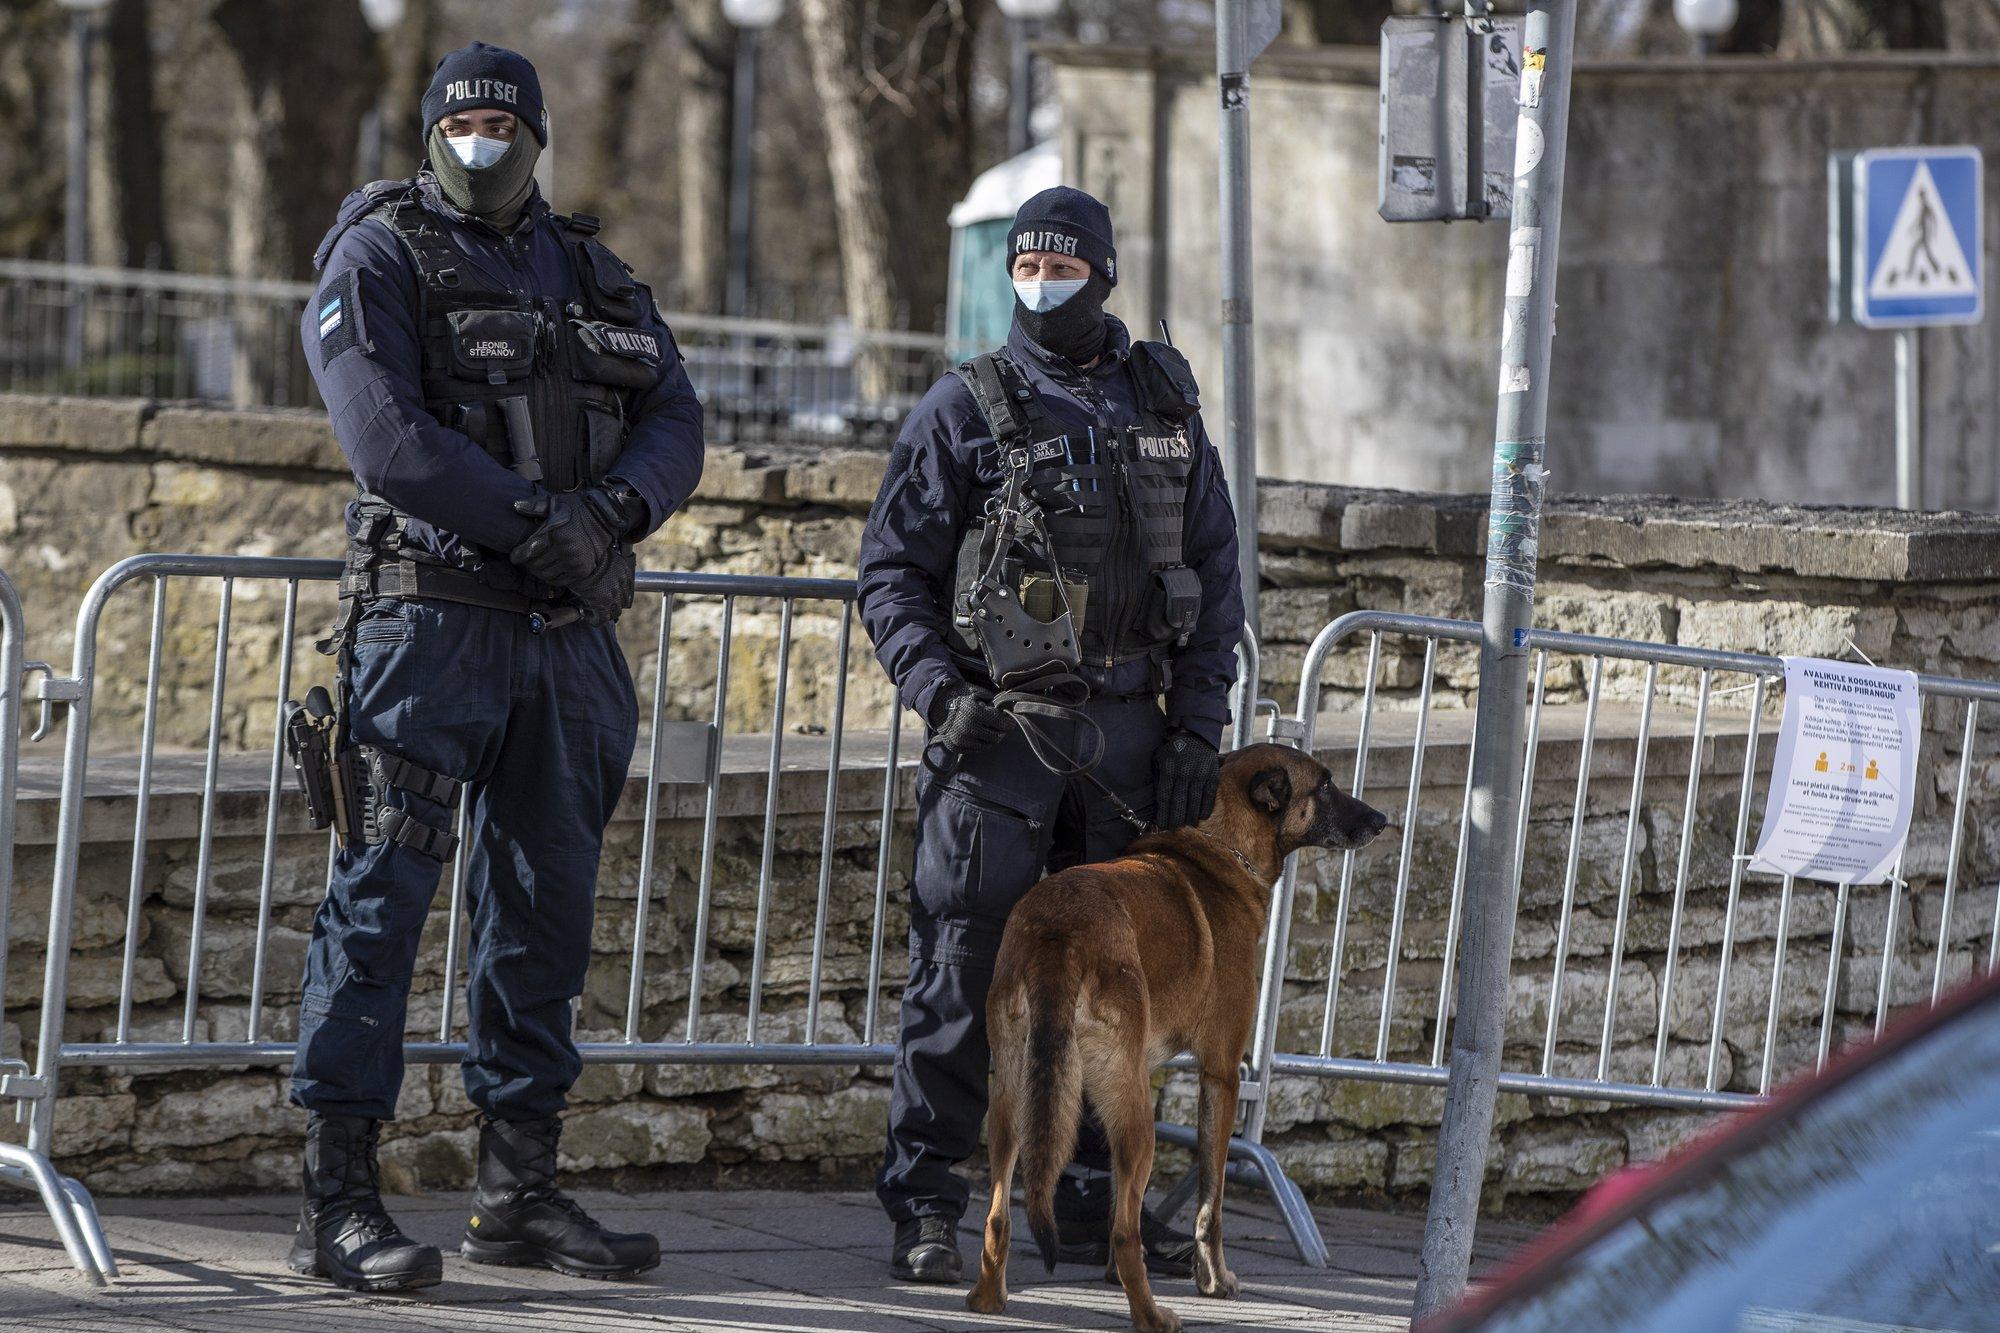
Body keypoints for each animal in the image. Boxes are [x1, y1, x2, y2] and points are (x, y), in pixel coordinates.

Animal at [964, 740, 1376, 1320]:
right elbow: (1211, 1198)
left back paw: (988, 1298)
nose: (1381, 821)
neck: (1222, 845)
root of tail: (1058, 932)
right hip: (1138, 1119)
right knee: (1123, 1233)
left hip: (1016, 1101)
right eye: (1325, 784)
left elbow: (1122, 1202)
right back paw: (1153, 1316)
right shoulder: (1222, 1075)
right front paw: (1215, 1280)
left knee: (1001, 1215)